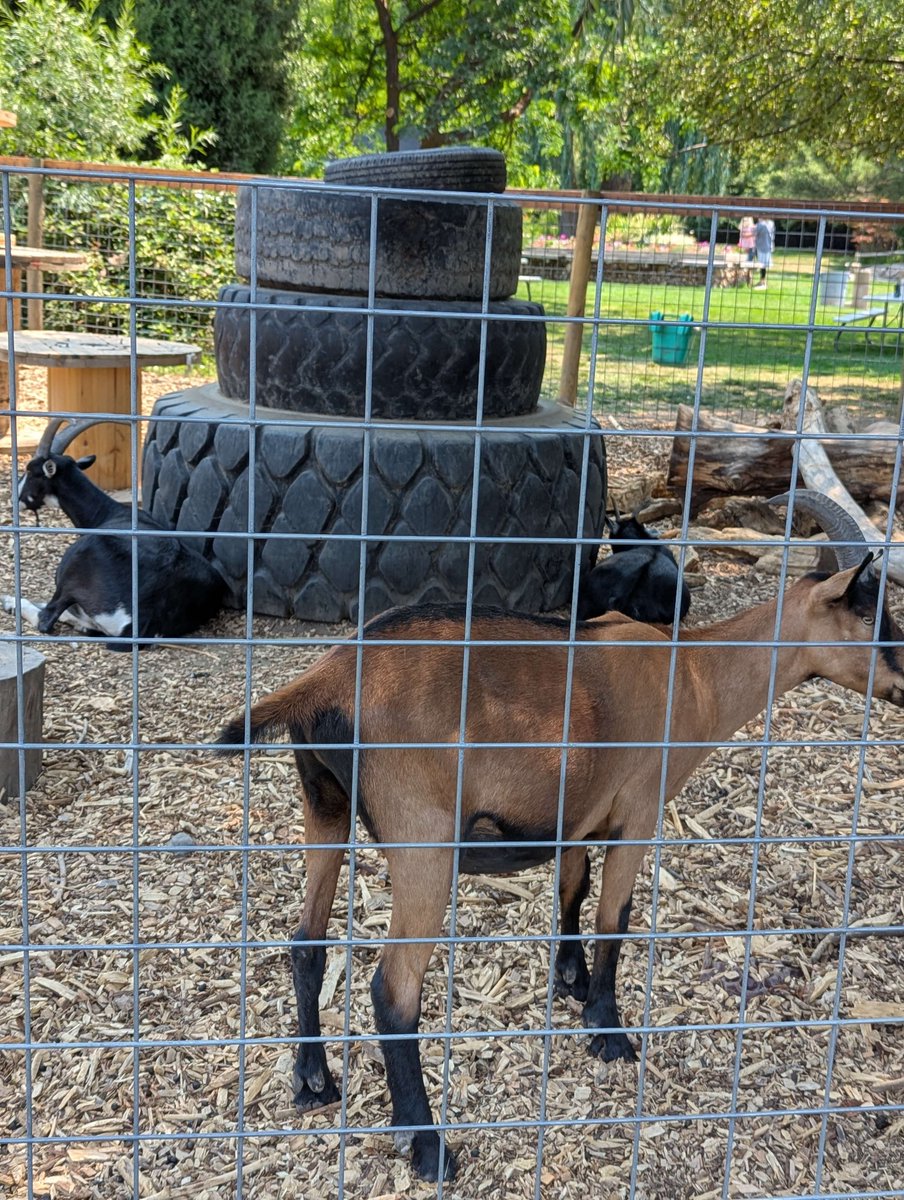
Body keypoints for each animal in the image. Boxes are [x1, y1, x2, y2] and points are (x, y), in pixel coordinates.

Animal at [2, 418, 225, 647]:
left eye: (31, 471)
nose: (14, 499)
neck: (107, 512)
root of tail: (145, 618)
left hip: (73, 572)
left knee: (47, 618)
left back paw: (13, 603)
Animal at [217, 490, 903, 1181]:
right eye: (870, 612)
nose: (903, 682)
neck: (692, 674)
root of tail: (328, 676)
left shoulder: (578, 813)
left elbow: (572, 890)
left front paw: (569, 982)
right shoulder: (637, 811)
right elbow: (614, 918)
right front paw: (607, 1029)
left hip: (323, 804)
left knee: (306, 943)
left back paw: (313, 1081)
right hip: (422, 837)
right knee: (394, 989)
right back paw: (429, 1145)